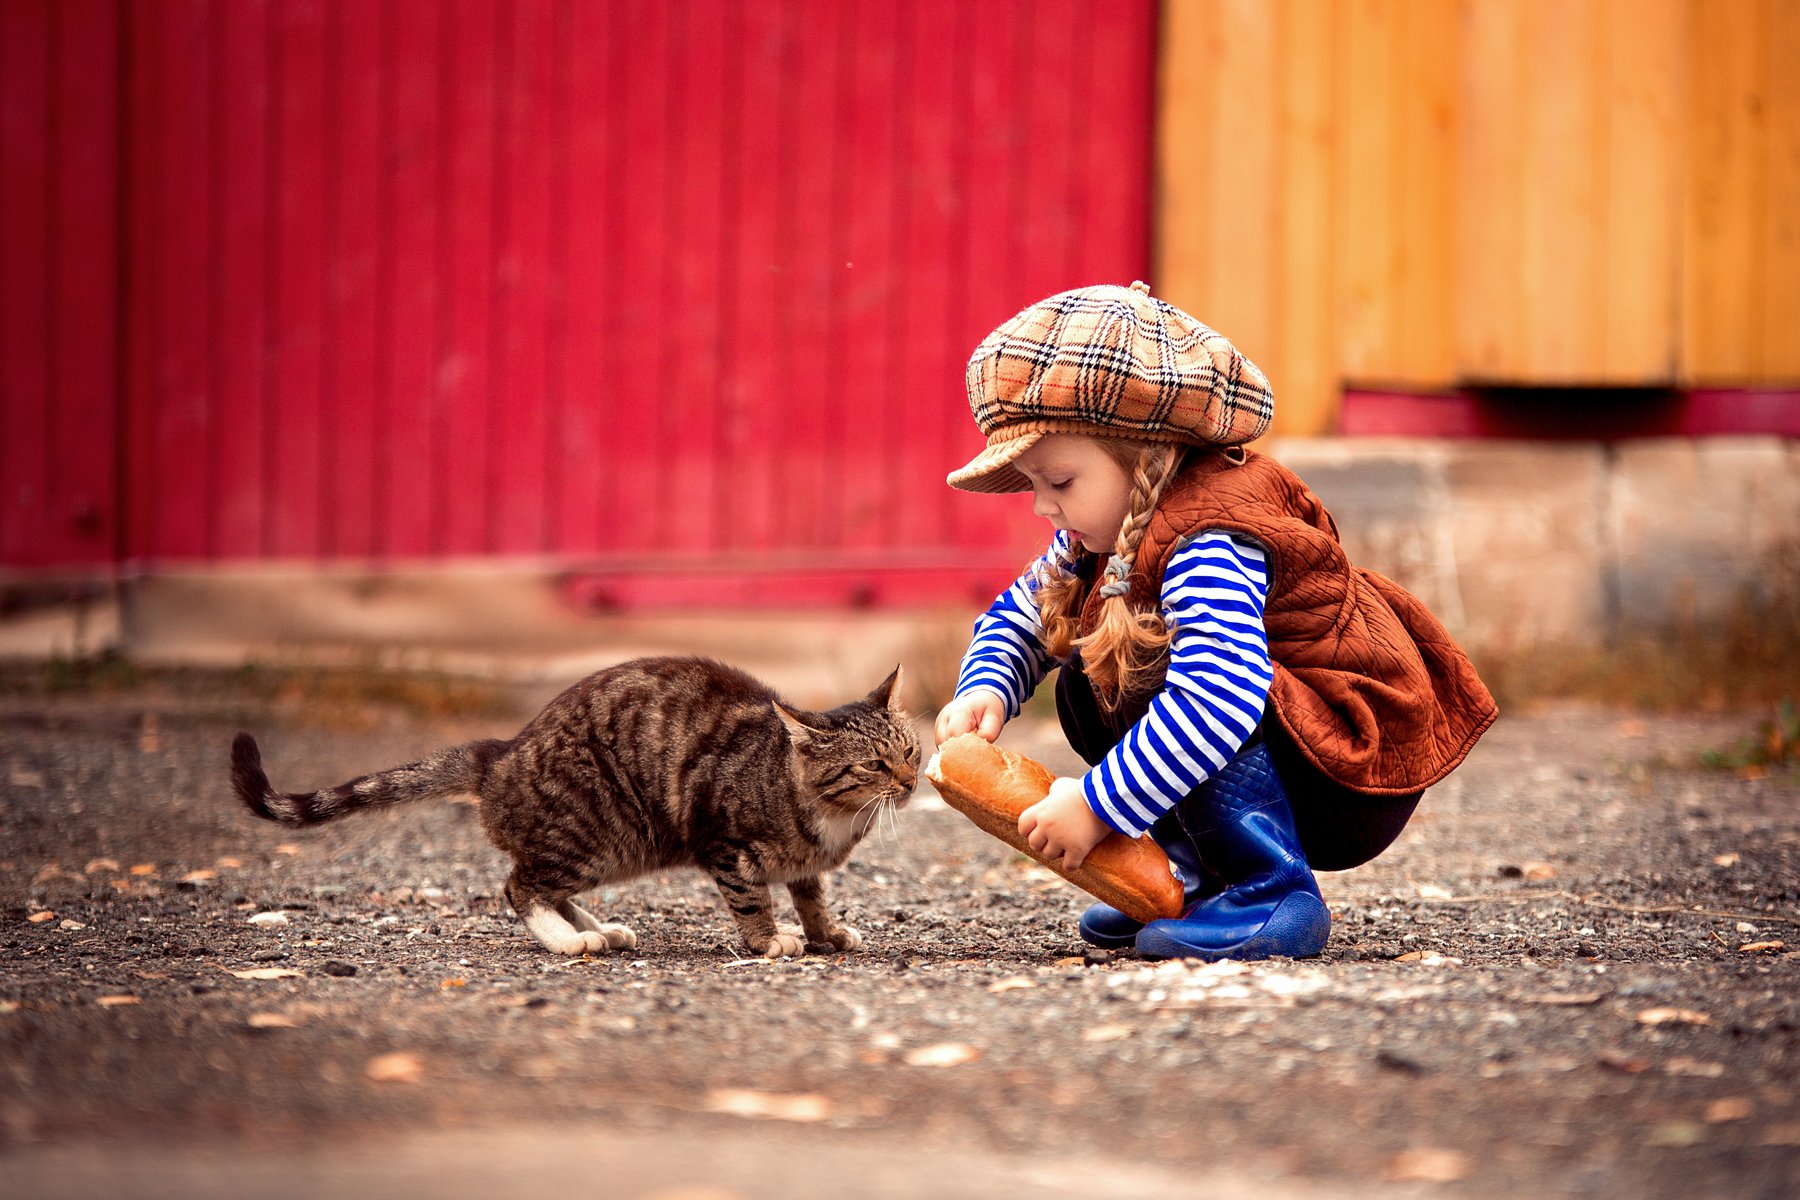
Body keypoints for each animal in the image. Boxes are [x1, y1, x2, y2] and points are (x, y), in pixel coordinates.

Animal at [230, 658, 921, 957]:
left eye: (911, 750)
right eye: (874, 766)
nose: (914, 781)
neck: (831, 815)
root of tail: (502, 752)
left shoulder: (806, 866)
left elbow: (812, 896)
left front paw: (825, 932)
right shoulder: (725, 843)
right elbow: (753, 899)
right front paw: (769, 940)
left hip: (611, 847)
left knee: (545, 884)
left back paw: (597, 928)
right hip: (598, 829)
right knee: (519, 885)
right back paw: (567, 942)